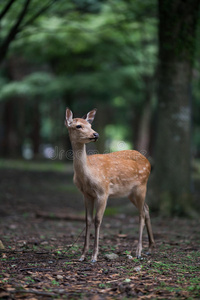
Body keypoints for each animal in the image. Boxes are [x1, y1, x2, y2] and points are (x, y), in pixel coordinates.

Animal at [65, 108, 155, 262]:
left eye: (90, 125)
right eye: (78, 126)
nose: (95, 134)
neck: (88, 175)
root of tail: (149, 163)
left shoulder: (103, 191)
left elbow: (97, 220)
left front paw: (94, 256)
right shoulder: (86, 194)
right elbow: (87, 220)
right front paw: (82, 255)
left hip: (142, 186)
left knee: (141, 214)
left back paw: (138, 251)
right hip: (131, 193)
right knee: (147, 209)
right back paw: (149, 248)